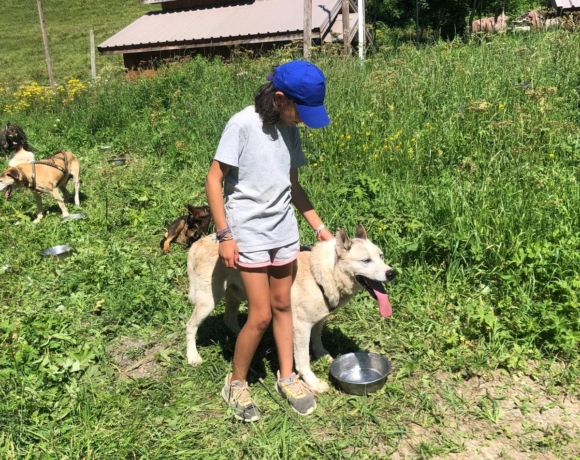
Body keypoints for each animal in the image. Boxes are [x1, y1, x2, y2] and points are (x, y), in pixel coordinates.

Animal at [186, 225, 394, 394]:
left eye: (381, 256)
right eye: (366, 260)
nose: (392, 273)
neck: (321, 272)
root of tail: (198, 242)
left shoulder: (318, 319)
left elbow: (317, 340)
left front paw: (323, 355)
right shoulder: (301, 327)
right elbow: (302, 361)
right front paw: (313, 383)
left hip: (235, 295)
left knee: (230, 319)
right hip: (208, 302)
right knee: (190, 326)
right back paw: (193, 356)